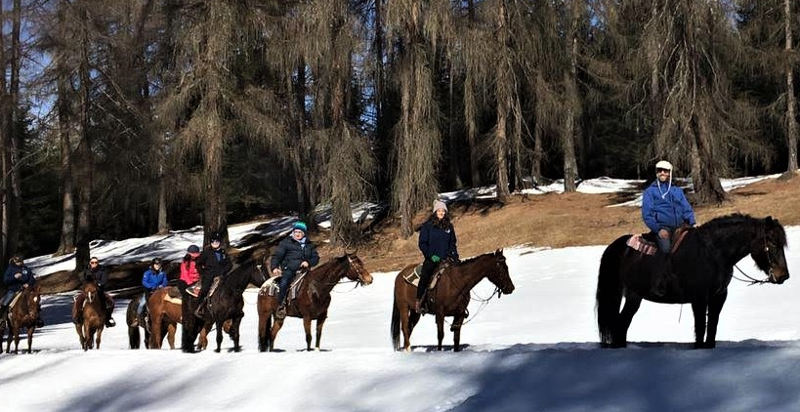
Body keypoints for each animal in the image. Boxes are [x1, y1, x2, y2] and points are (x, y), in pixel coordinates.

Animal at [596, 214, 790, 349]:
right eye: (773, 243)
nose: (783, 276)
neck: (713, 254)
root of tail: (618, 246)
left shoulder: (719, 296)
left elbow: (712, 326)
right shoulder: (699, 298)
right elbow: (700, 327)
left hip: (634, 297)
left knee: (622, 324)